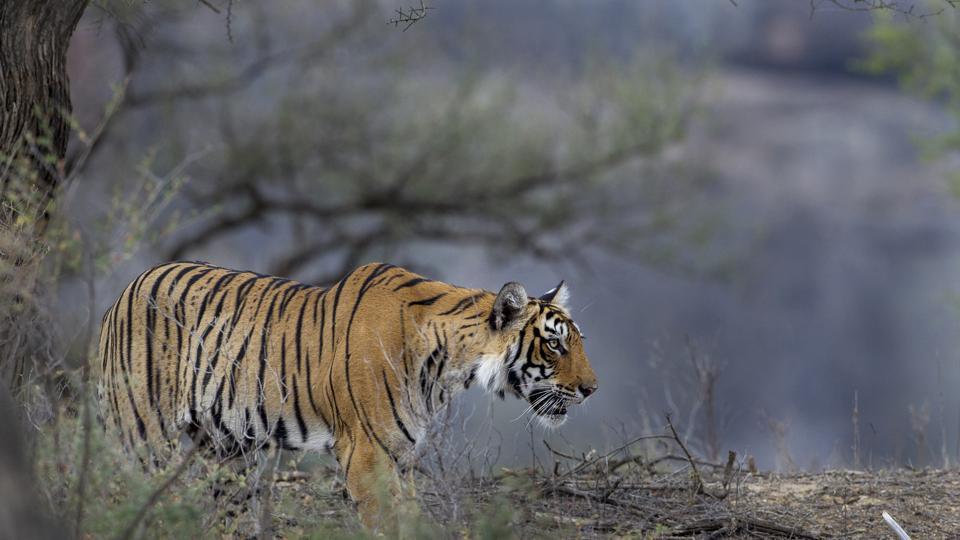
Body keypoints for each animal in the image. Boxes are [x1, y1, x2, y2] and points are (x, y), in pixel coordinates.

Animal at [94, 262, 596, 528]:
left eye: (576, 340)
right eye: (555, 344)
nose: (592, 389)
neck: (449, 367)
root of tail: (124, 291)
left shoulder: (401, 457)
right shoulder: (366, 454)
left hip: (228, 451)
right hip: (141, 436)